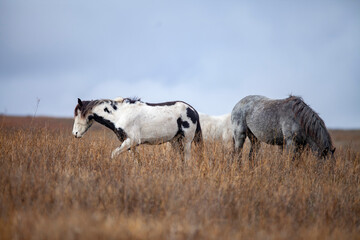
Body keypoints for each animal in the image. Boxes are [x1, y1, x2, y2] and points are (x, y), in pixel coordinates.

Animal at [72, 97, 202, 161]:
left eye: (78, 113)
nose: (75, 133)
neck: (120, 114)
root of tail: (193, 110)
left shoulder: (132, 141)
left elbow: (114, 154)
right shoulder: (130, 144)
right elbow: (136, 161)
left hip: (187, 141)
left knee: (187, 159)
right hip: (175, 141)